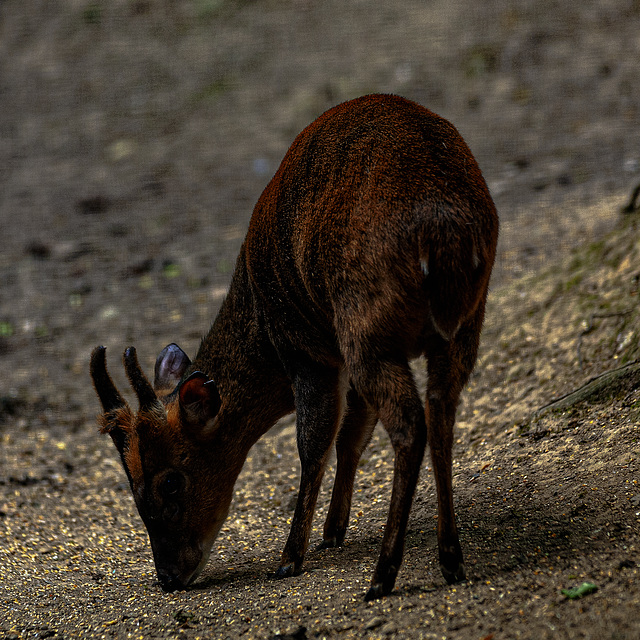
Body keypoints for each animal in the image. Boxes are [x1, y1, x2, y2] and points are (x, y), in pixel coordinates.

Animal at [90, 92, 500, 604]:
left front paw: (291, 559)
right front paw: (334, 532)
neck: (263, 329)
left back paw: (383, 575)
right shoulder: (339, 359)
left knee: (409, 423)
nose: (167, 576)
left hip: (366, 324)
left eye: (169, 482)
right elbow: (351, 436)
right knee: (441, 412)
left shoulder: (308, 352)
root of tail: (441, 235)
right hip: (462, 322)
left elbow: (314, 444)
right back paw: (450, 558)